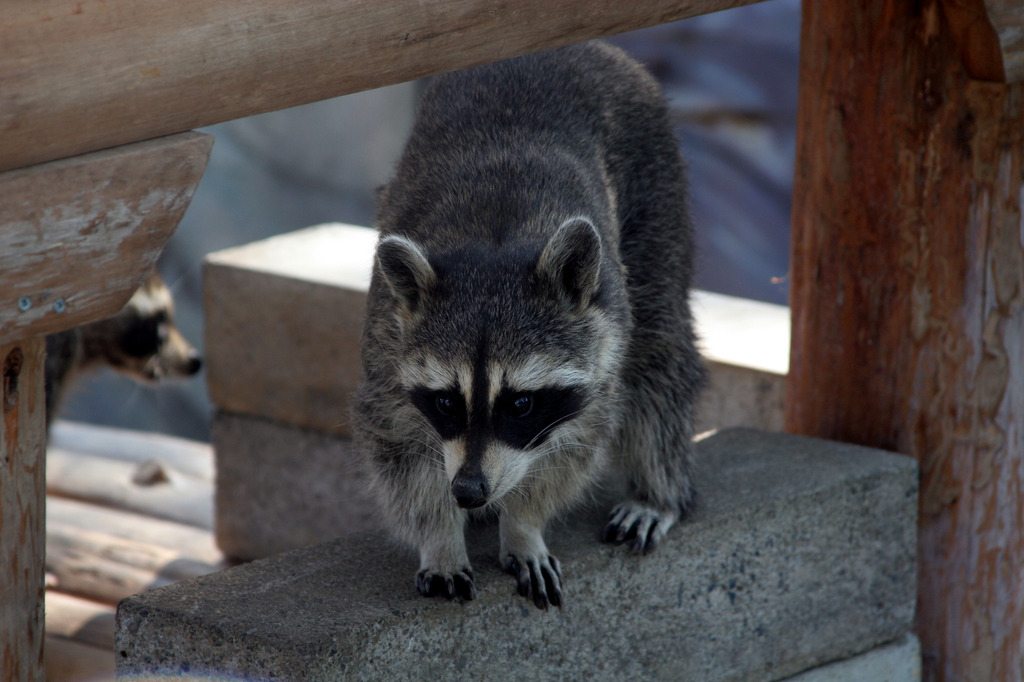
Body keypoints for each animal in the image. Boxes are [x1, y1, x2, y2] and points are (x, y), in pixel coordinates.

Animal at [354, 39, 704, 606]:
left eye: (521, 403)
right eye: (446, 401)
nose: (468, 490)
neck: (492, 245)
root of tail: (585, 46)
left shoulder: (600, 353)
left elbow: (574, 447)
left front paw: (523, 525)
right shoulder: (386, 338)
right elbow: (399, 444)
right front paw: (441, 536)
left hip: (657, 186)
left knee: (660, 349)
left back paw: (659, 491)